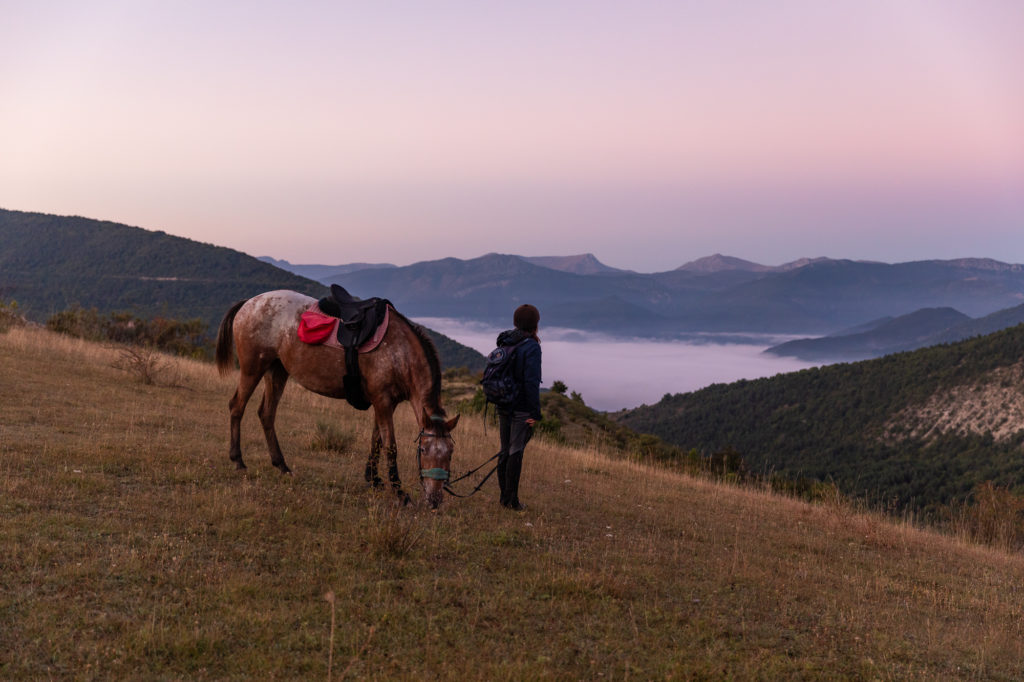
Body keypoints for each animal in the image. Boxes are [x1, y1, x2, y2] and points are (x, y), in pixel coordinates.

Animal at [211, 286, 460, 503]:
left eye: (450, 453)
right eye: (424, 450)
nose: (435, 499)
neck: (400, 352)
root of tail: (249, 303)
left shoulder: (386, 403)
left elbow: (375, 440)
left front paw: (373, 479)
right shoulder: (383, 401)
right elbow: (390, 446)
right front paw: (399, 493)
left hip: (277, 371)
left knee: (266, 414)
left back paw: (281, 465)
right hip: (252, 369)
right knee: (237, 406)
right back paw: (238, 460)